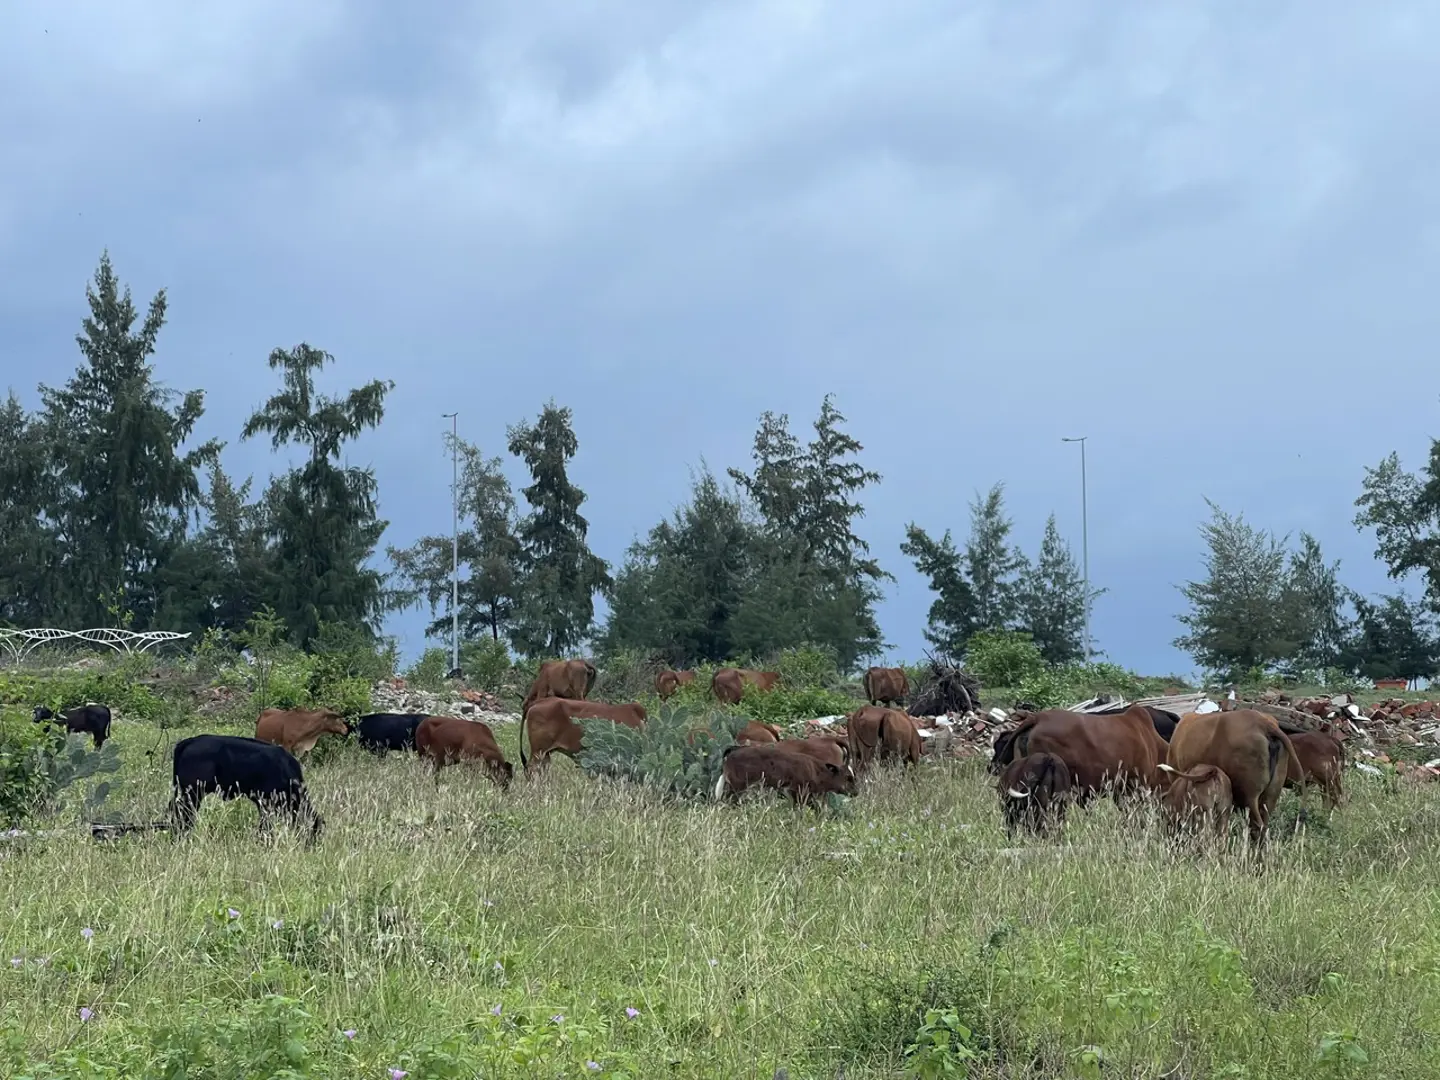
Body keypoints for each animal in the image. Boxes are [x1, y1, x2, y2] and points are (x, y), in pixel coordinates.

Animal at [171, 737, 321, 846]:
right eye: (314, 830)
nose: (312, 845)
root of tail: (190, 741)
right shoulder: (265, 803)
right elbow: (265, 826)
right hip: (192, 795)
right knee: (185, 818)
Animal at [717, 748, 858, 806]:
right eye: (848, 777)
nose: (856, 792)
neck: (815, 770)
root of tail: (730, 754)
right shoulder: (798, 793)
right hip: (737, 787)